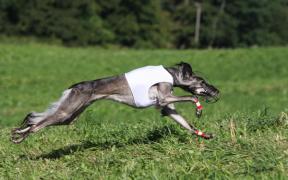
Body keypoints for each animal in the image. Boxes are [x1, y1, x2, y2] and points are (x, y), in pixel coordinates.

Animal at [10, 62, 218, 143]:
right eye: (202, 82)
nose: (216, 91)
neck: (171, 74)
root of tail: (75, 86)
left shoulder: (166, 107)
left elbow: (186, 124)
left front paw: (205, 135)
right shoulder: (164, 97)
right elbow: (193, 97)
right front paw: (199, 110)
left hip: (70, 115)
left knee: (34, 118)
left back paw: (18, 131)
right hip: (67, 111)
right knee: (37, 124)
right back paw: (21, 136)